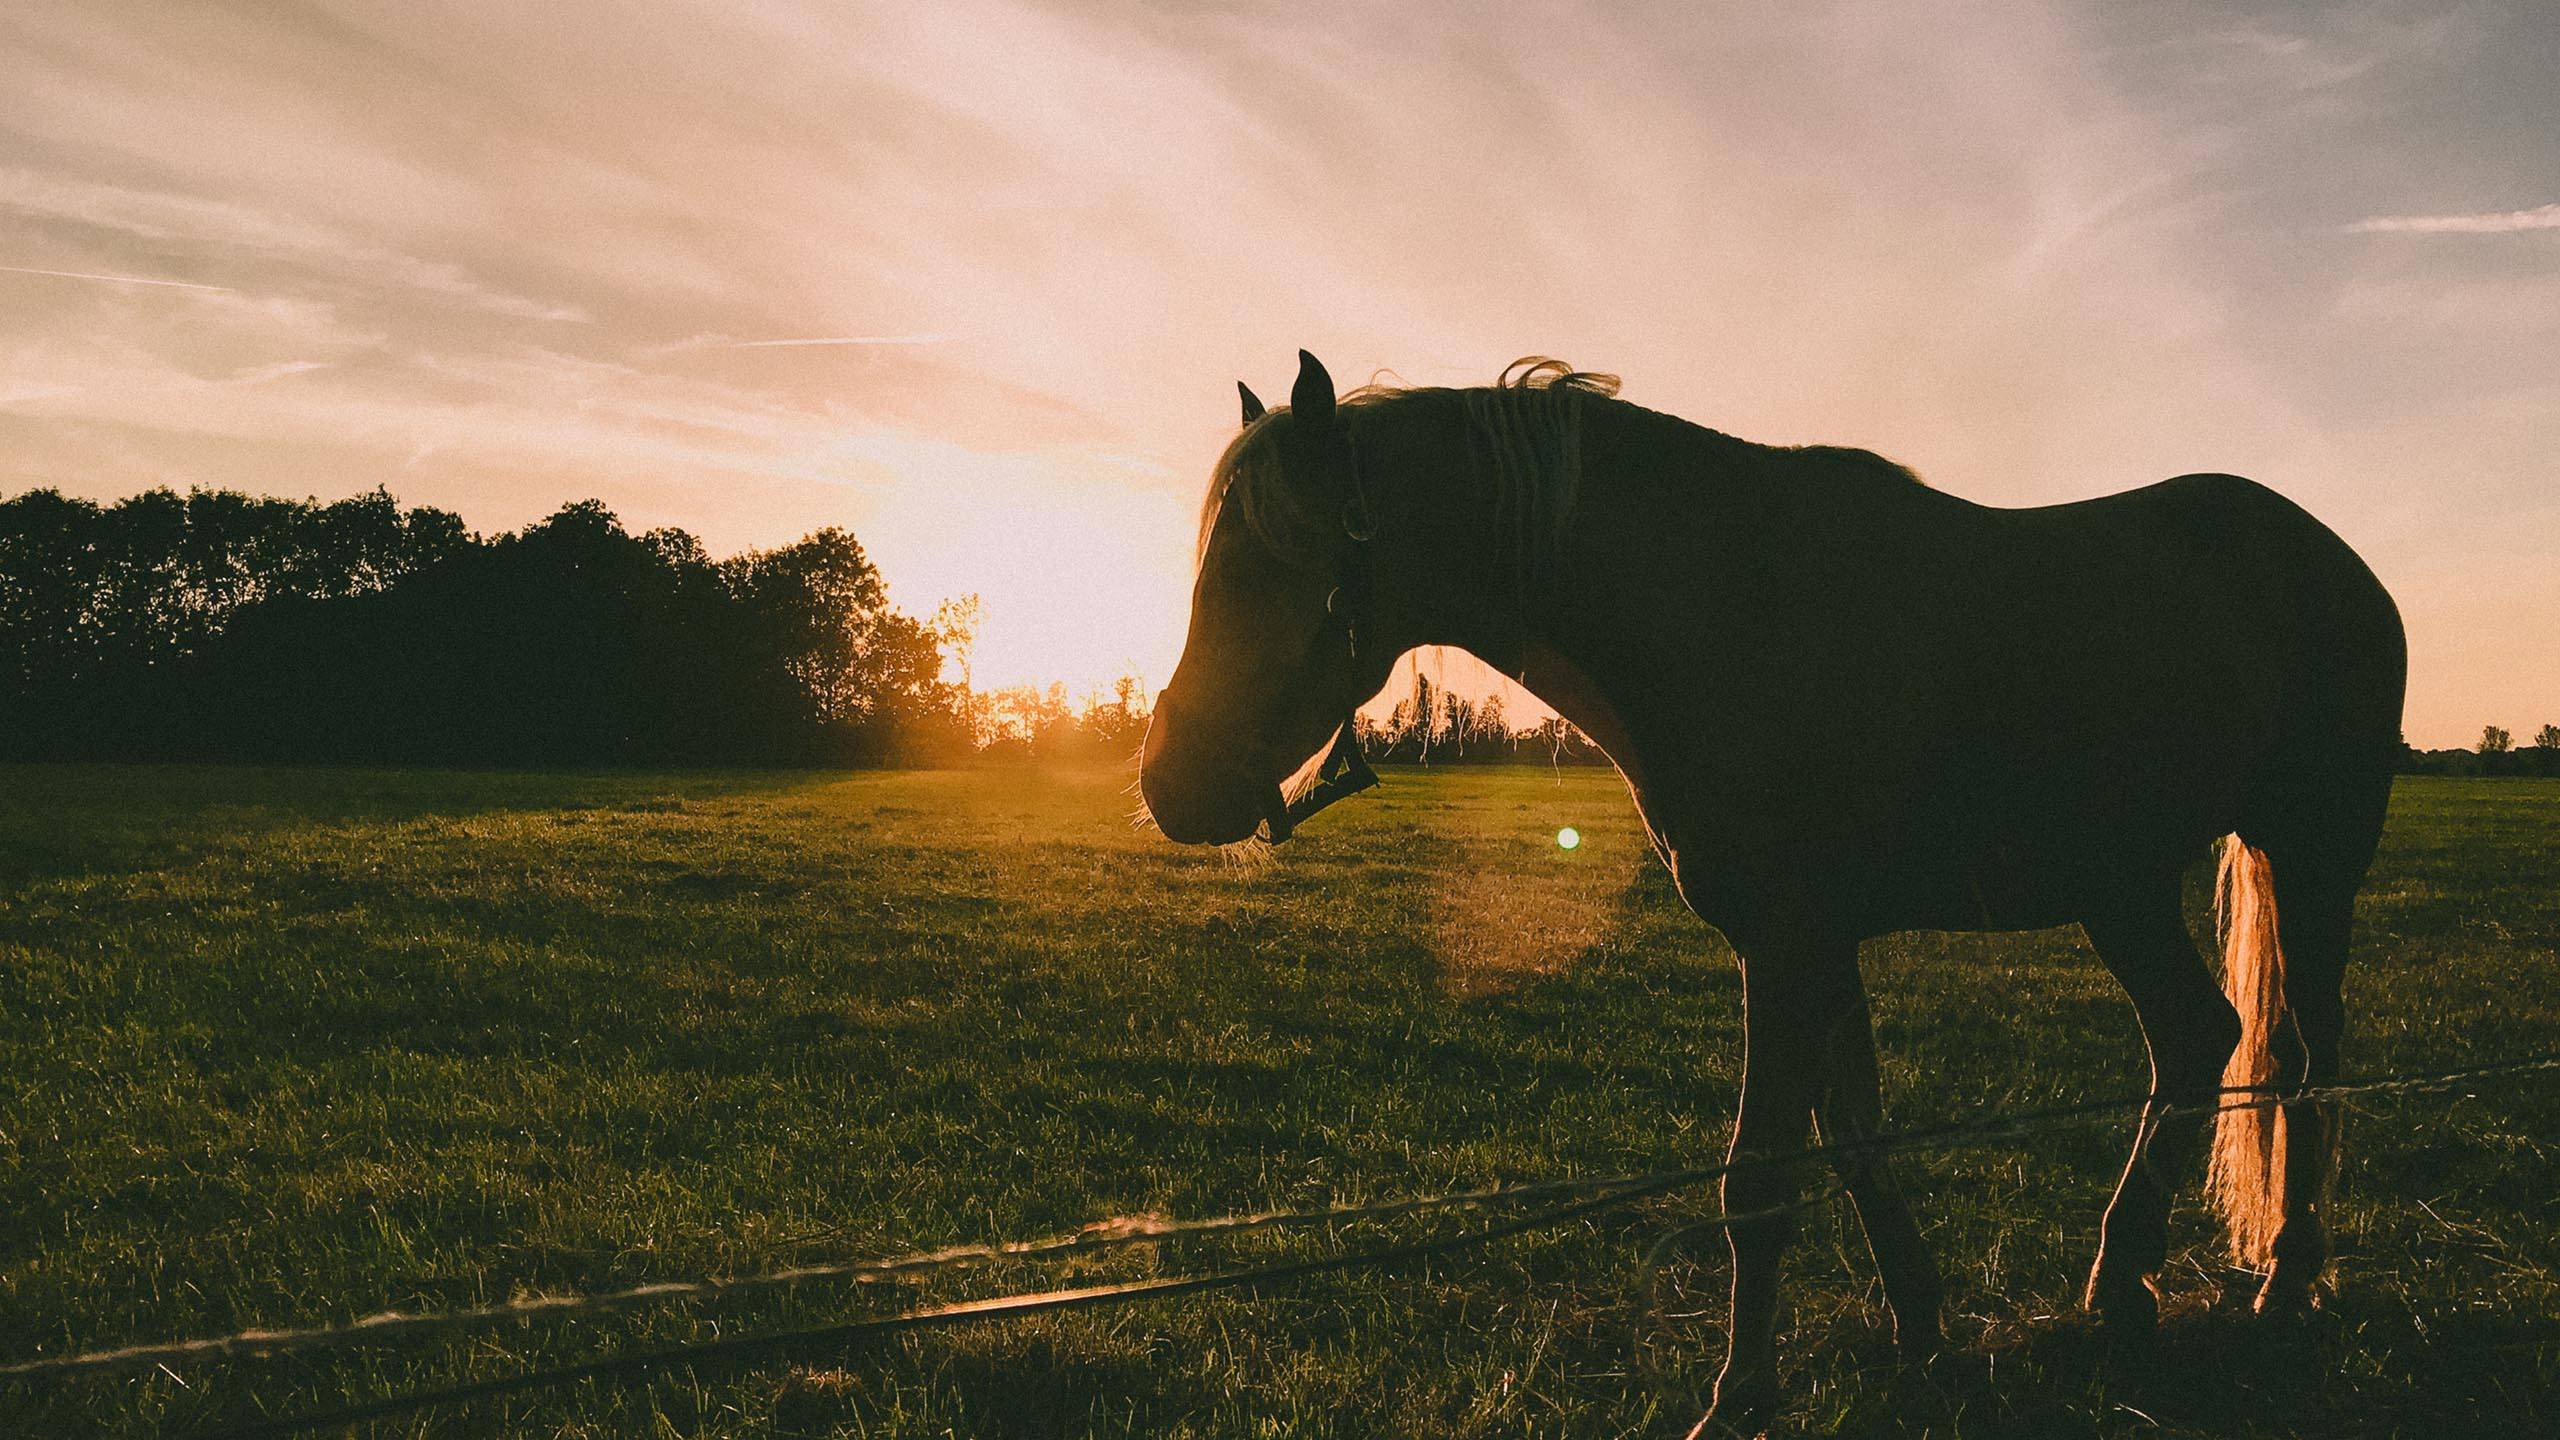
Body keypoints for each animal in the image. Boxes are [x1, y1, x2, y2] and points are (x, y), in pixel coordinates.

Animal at [1141, 348, 2396, 1424]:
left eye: (1270, 561)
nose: (1168, 784)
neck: (1723, 606)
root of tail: (2326, 558)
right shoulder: (1816, 947)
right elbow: (1851, 1142)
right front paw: (1922, 1331)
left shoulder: (1785, 947)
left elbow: (1758, 1181)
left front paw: (1739, 1397)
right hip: (2120, 885)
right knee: (2196, 1036)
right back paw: (2122, 1286)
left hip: (2307, 856)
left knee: (2302, 1058)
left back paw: (2286, 1280)